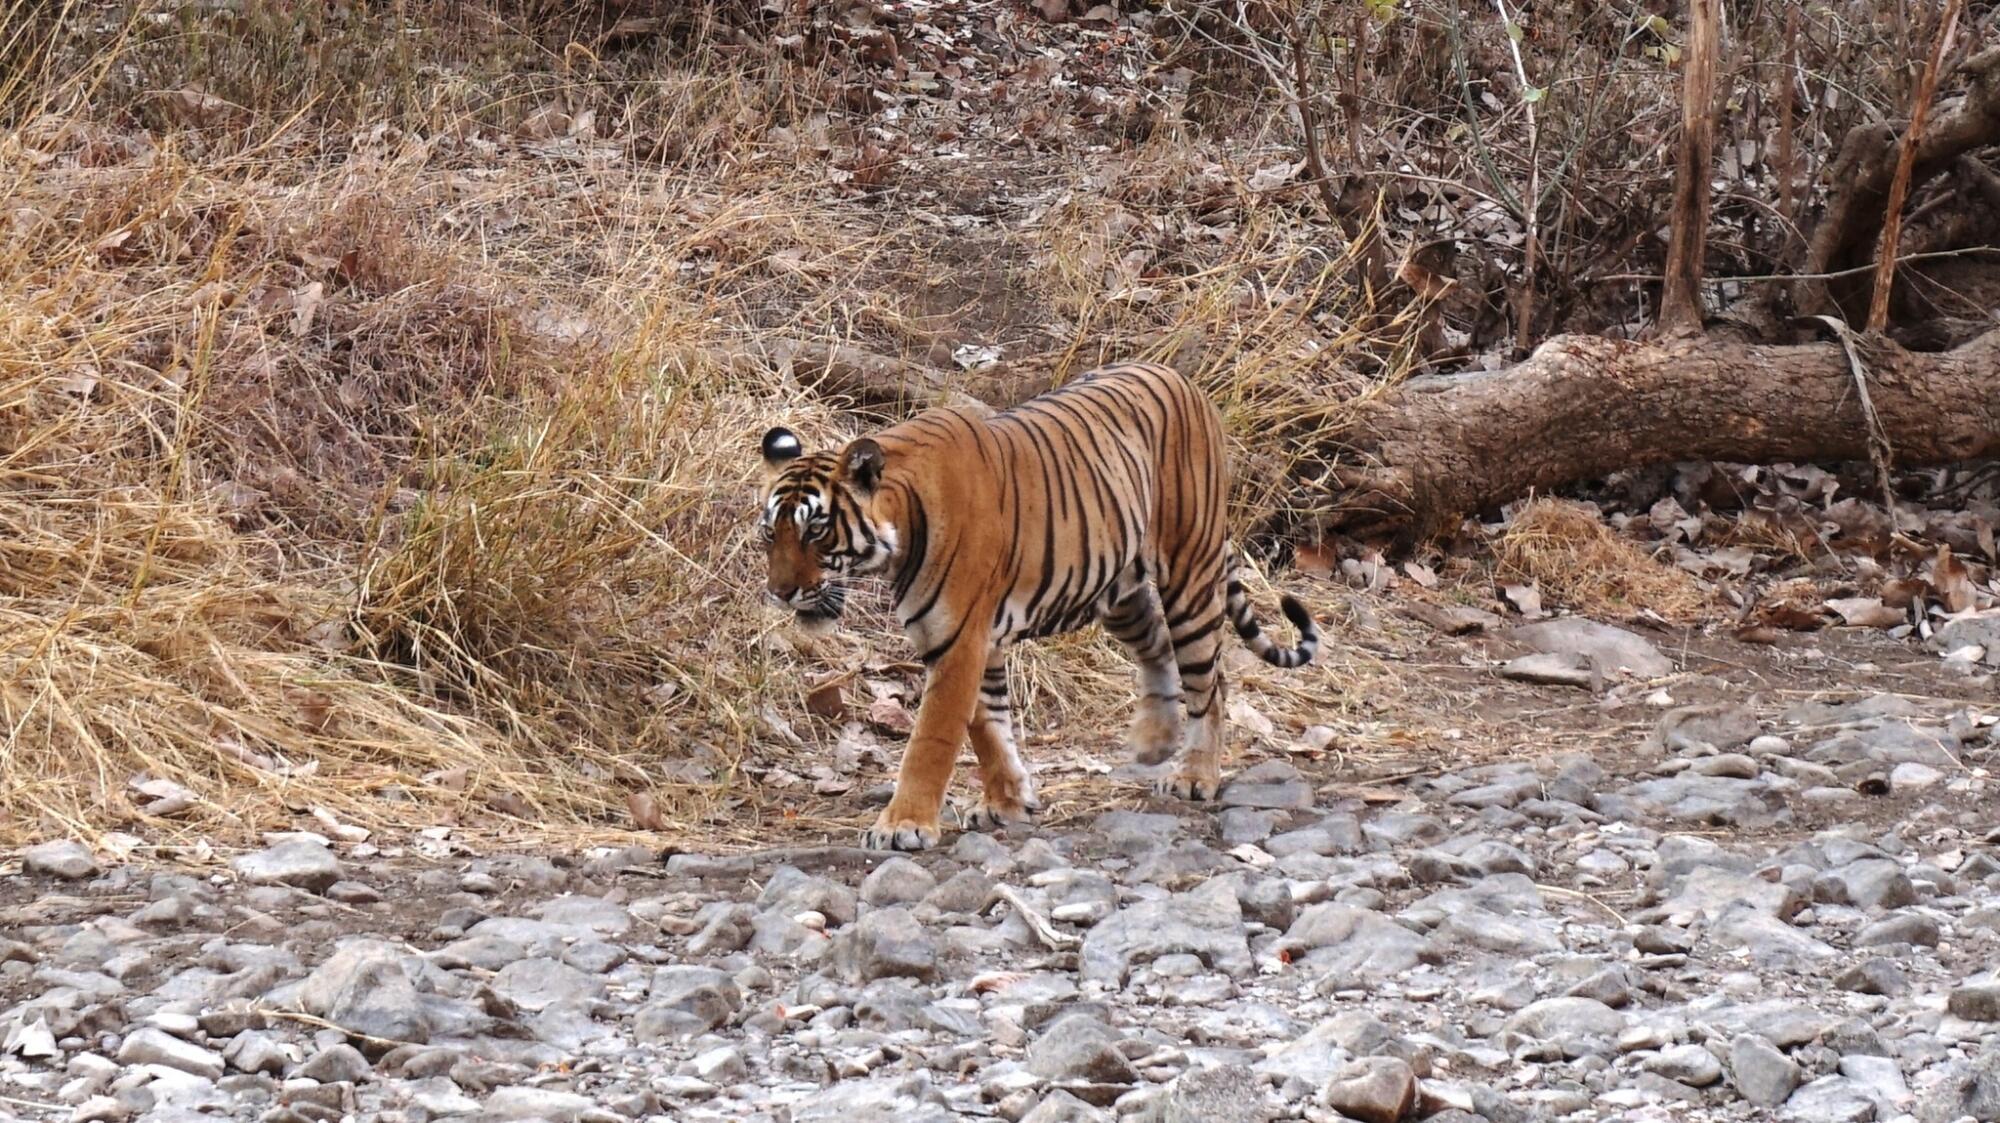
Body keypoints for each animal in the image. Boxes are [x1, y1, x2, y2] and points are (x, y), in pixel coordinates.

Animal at [756, 359, 1320, 847]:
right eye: (769, 534)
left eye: (815, 531)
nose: (780, 592)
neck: (901, 524)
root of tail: (1182, 379)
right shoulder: (965, 639)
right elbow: (987, 727)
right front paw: (1007, 801)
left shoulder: (960, 640)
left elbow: (932, 739)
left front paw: (904, 825)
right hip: (1117, 587)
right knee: (1158, 648)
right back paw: (1155, 741)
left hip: (1190, 573)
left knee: (1210, 683)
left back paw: (1194, 774)